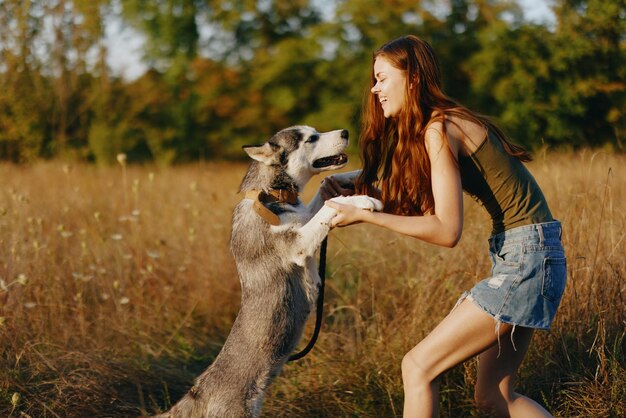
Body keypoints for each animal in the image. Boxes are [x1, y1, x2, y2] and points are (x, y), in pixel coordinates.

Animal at [154, 125, 382, 418]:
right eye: (311, 138)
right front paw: (362, 199)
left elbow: (325, 187)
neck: (269, 193)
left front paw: (359, 173)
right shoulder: (298, 245)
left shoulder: (303, 220)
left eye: (316, 132)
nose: (345, 132)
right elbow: (330, 207)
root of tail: (198, 392)